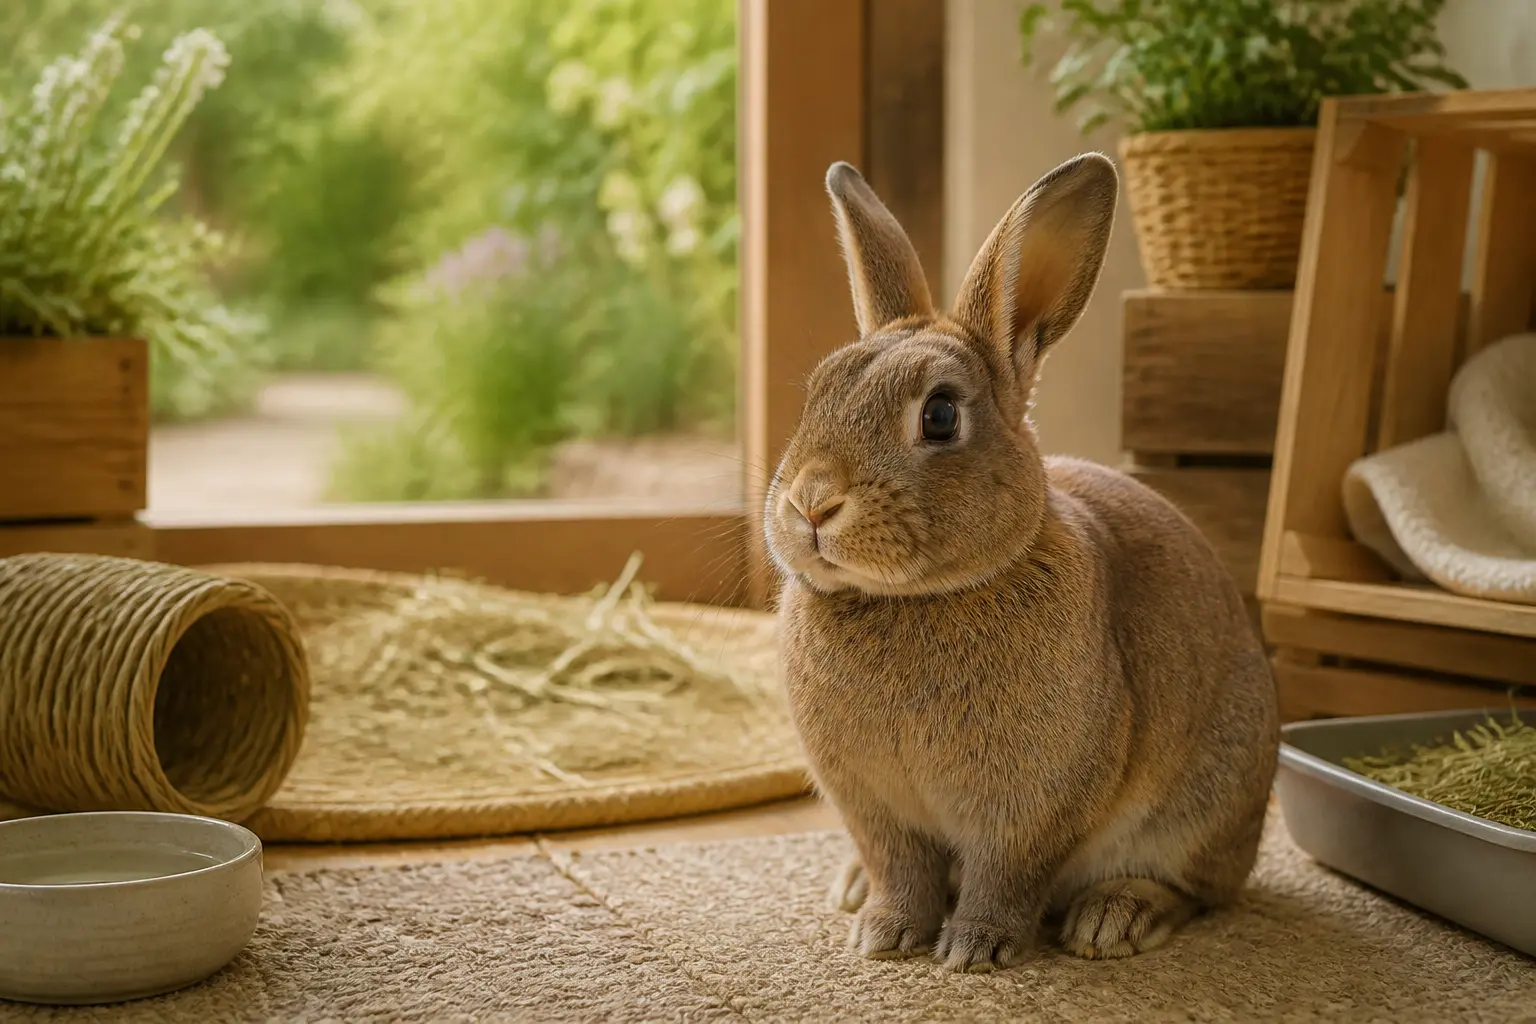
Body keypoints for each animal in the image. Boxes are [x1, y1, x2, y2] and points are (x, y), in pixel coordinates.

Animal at [762, 153, 1281, 973]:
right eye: (817, 392)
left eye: (941, 415)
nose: (812, 504)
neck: (919, 597)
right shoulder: (874, 808)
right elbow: (899, 868)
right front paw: (883, 935)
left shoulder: (1035, 806)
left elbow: (1005, 874)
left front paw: (974, 950)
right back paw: (852, 889)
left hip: (1207, 801)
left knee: (1199, 890)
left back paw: (1115, 920)